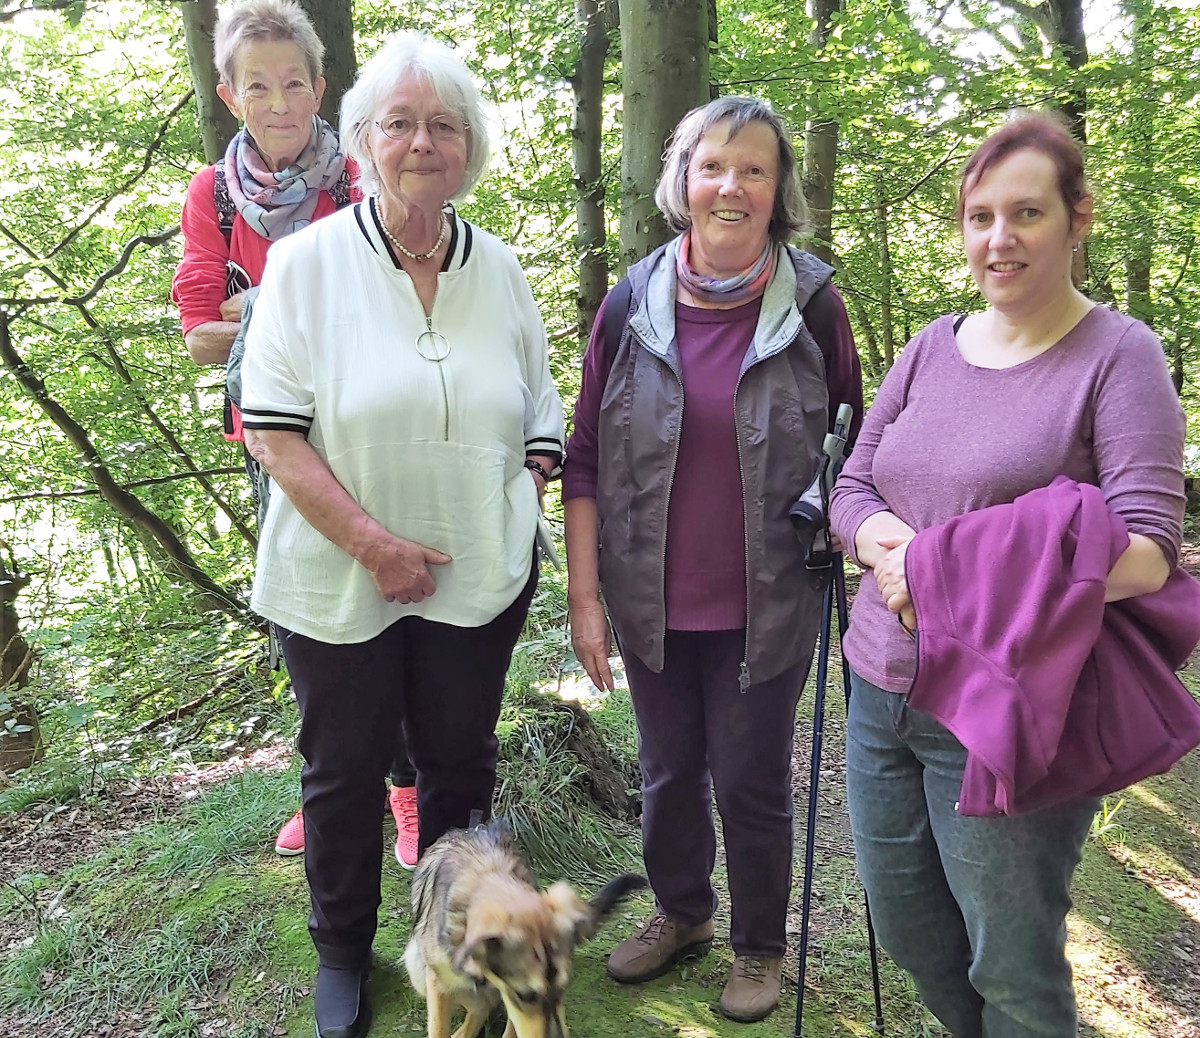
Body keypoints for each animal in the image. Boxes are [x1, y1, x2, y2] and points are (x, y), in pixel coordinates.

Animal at [403, 816, 648, 1036]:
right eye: (526, 995)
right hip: (418, 968)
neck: (491, 874)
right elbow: (438, 1029)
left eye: (563, 988)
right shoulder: (440, 983)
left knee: (482, 1007)